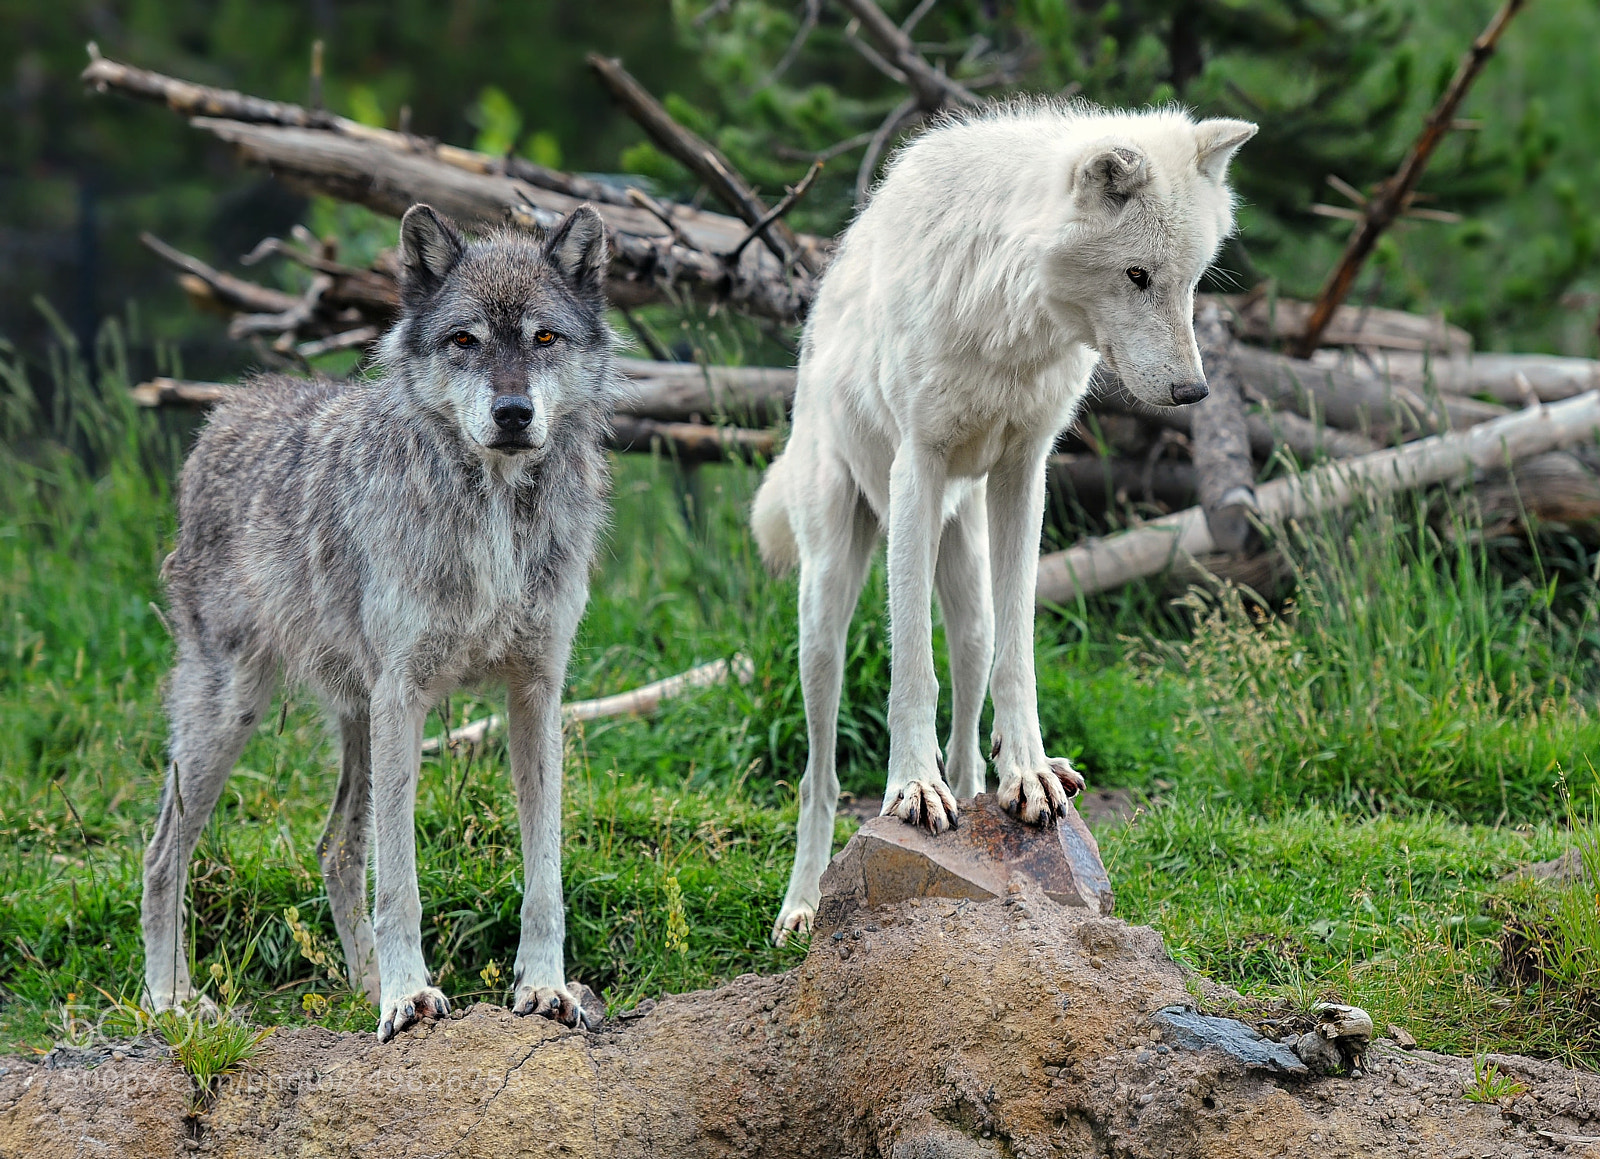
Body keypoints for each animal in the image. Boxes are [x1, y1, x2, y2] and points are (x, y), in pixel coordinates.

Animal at [141, 203, 614, 1041]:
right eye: (464, 340)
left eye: (544, 338)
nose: (514, 413)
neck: (493, 512)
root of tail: (221, 415)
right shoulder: (407, 694)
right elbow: (402, 883)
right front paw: (409, 996)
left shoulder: (537, 692)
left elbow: (545, 875)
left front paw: (544, 987)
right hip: (233, 712)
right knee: (163, 851)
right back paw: (170, 999)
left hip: (357, 720)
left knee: (336, 848)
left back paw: (359, 984)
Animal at [753, 104, 1256, 941]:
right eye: (1137, 275)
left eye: (1189, 282)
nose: (1194, 392)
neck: (1008, 314)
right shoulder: (918, 468)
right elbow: (909, 669)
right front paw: (912, 788)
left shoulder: (1024, 470)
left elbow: (1018, 656)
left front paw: (1027, 772)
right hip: (826, 607)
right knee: (817, 774)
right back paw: (803, 905)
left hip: (968, 572)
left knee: (973, 670)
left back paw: (974, 793)